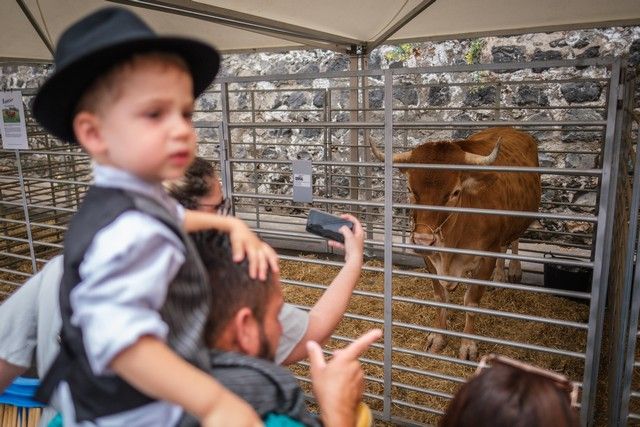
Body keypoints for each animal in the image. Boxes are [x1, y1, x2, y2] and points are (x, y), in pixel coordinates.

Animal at [370, 128, 540, 362]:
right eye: (410, 189)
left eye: (455, 192)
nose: (423, 240)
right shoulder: (429, 259)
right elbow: (440, 297)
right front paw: (437, 338)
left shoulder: (486, 258)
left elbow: (471, 302)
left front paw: (468, 345)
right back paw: (499, 277)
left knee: (513, 241)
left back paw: (513, 271)